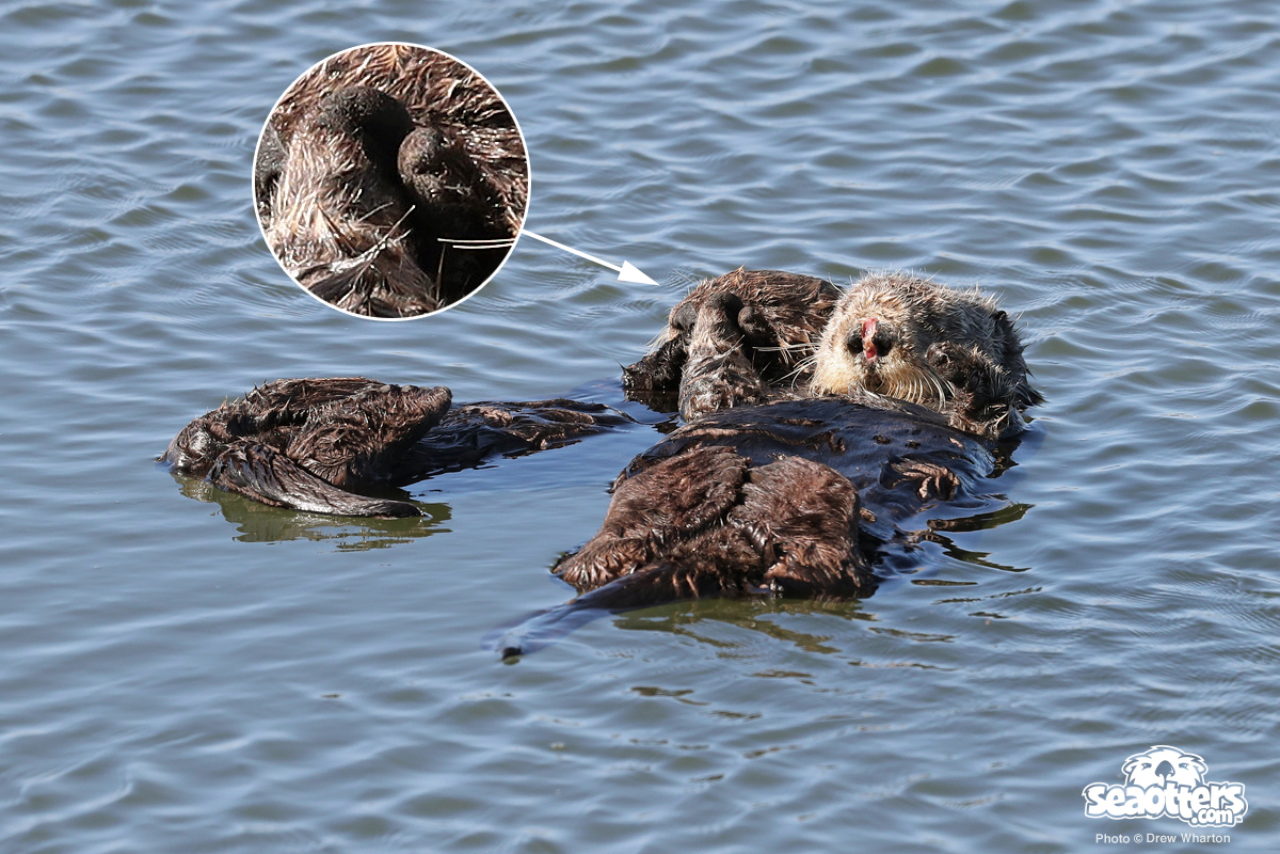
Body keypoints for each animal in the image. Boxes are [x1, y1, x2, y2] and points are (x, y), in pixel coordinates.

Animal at [163, 268, 1040, 651]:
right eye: (856, 308)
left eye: (931, 316)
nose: (869, 334)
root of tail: (718, 550)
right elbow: (686, 385)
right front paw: (735, 296)